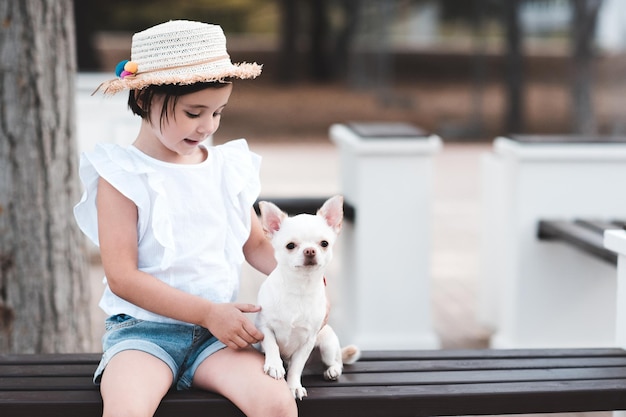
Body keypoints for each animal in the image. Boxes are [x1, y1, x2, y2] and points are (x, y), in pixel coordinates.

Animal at [256, 196, 358, 400]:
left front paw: (293, 386)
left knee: (337, 362)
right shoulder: (264, 327)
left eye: (324, 243)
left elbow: (296, 367)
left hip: (327, 344)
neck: (299, 288)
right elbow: (272, 345)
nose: (310, 250)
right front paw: (274, 365)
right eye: (290, 246)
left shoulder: (308, 341)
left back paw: (332, 371)